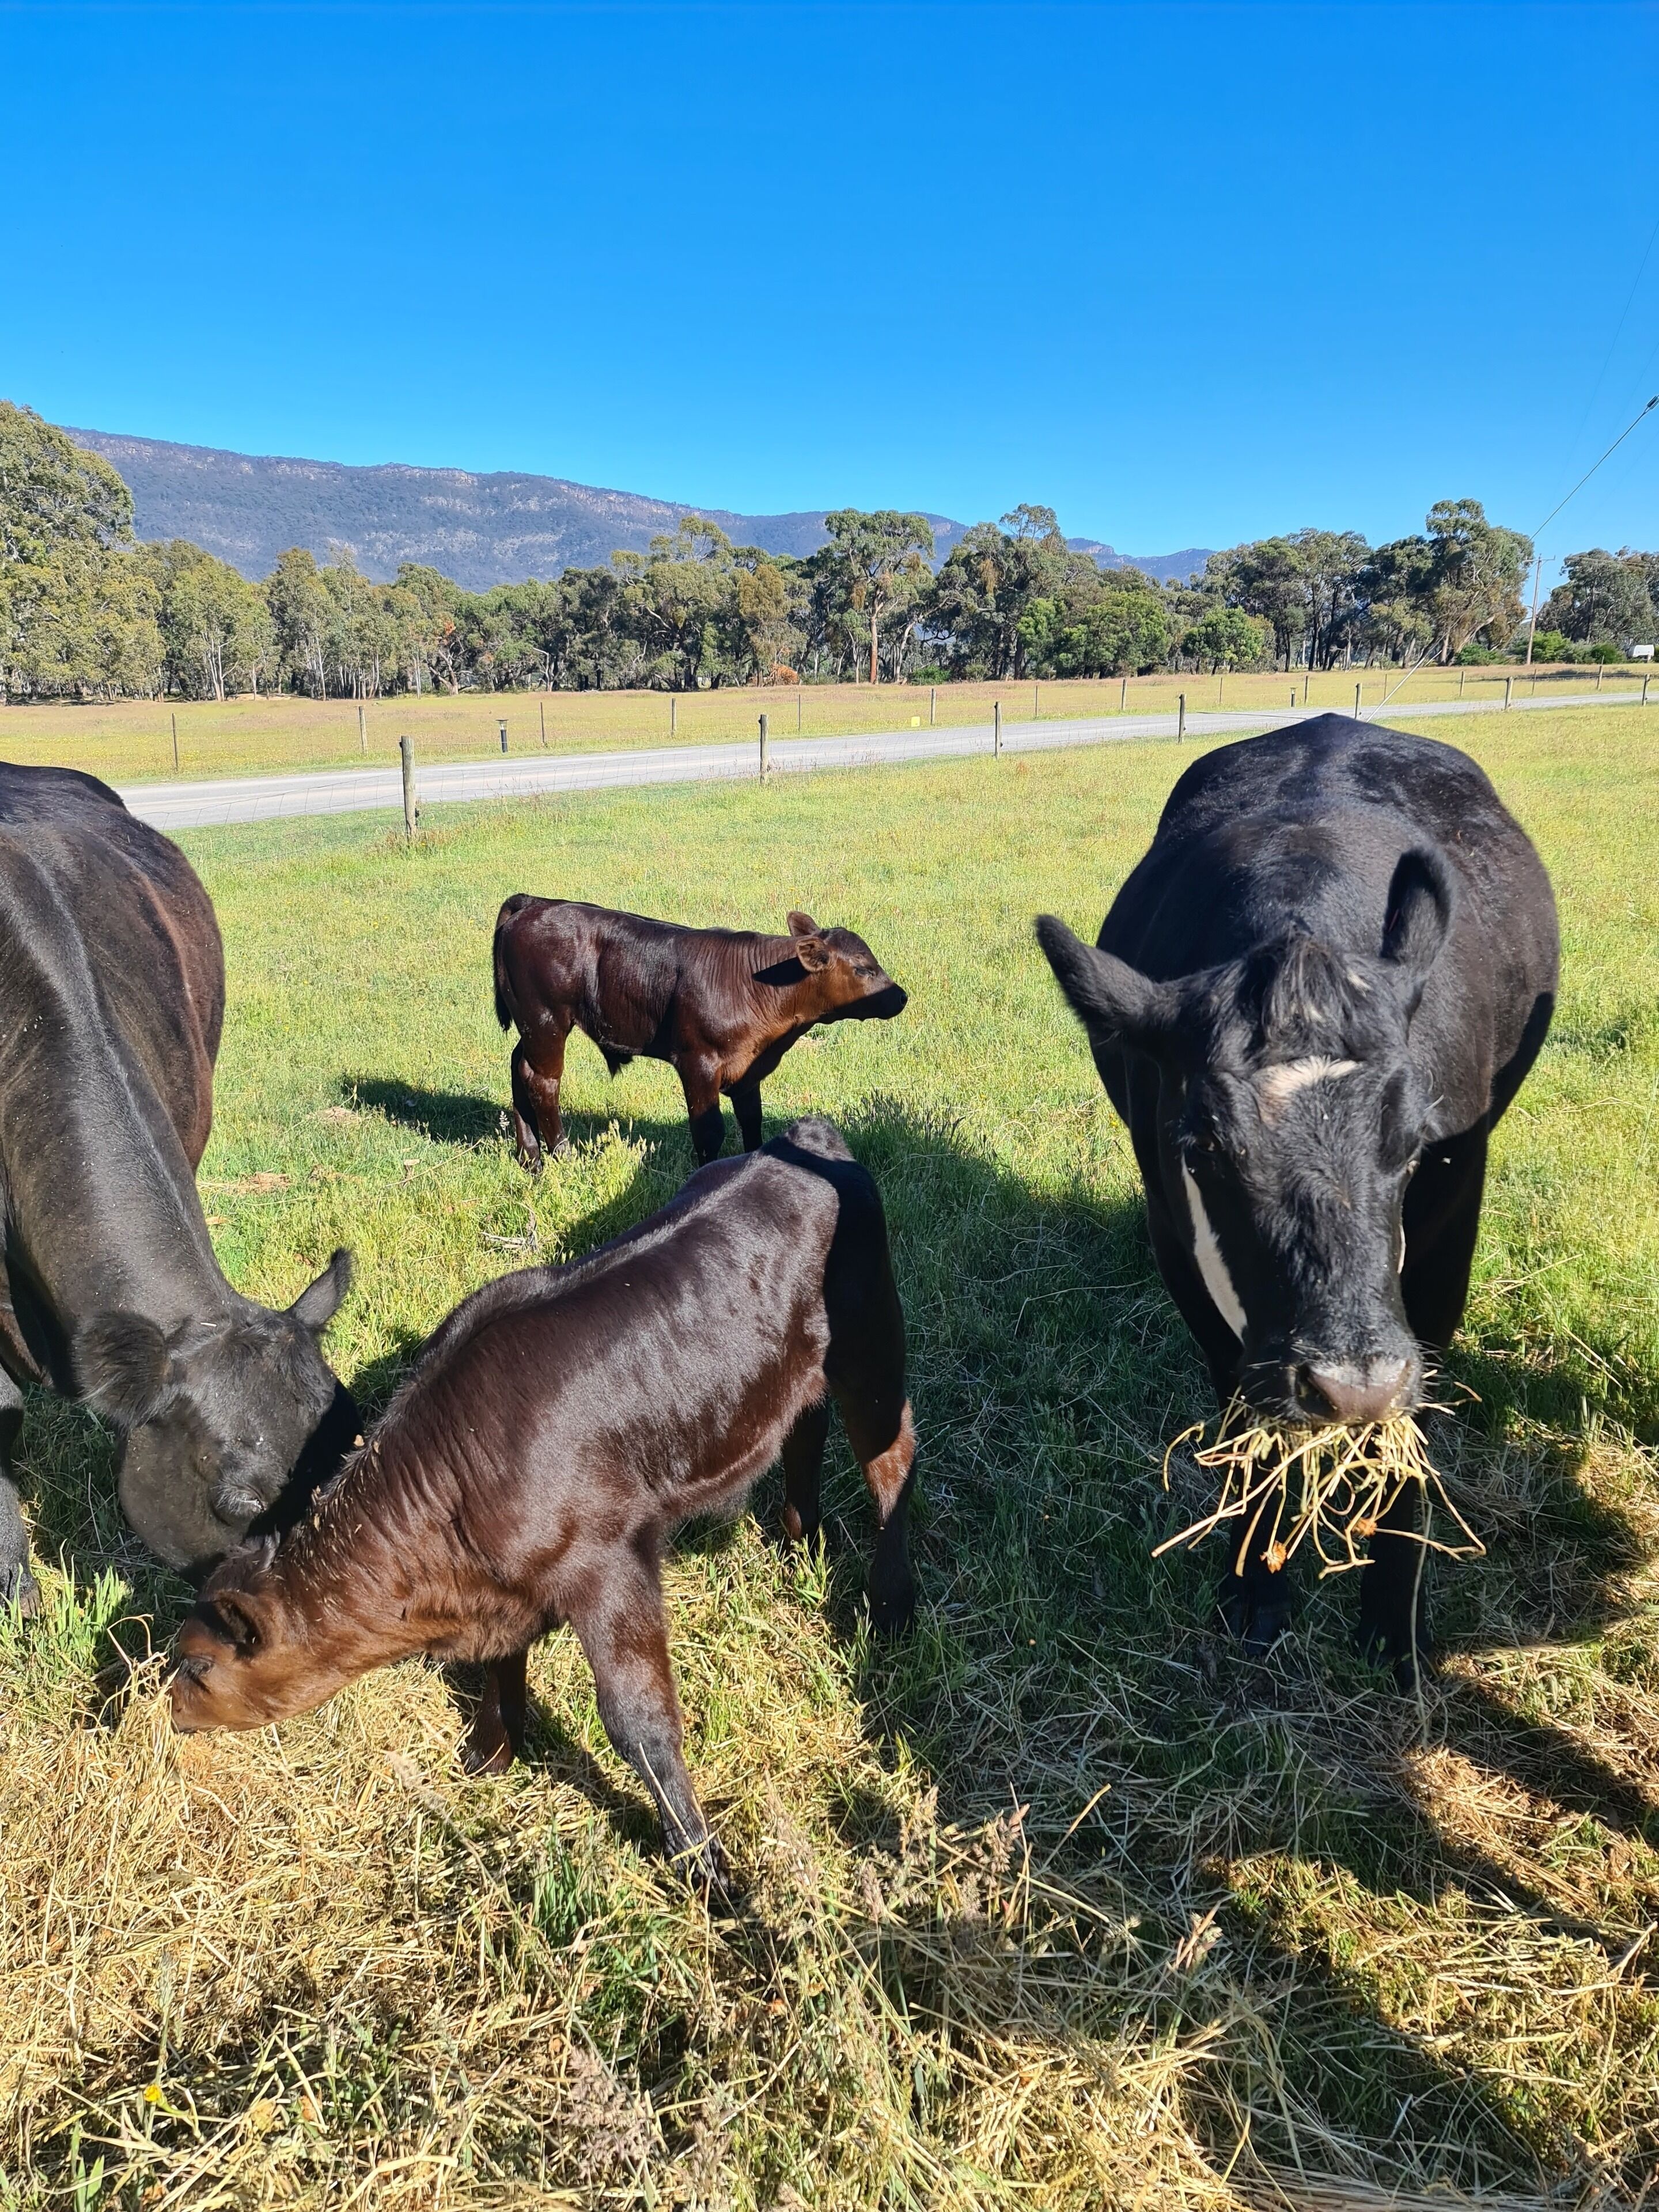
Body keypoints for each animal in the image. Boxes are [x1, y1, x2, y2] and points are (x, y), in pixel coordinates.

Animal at [168, 1117, 918, 1890]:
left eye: (197, 1666)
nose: (168, 1712)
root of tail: (801, 1138)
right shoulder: (506, 1589)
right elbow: (503, 1664)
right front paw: (493, 1753)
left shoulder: (608, 1564)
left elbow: (637, 1721)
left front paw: (700, 1863)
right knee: (803, 1433)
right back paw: (802, 1543)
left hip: (872, 1350)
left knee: (892, 1462)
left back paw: (891, 1605)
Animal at [492, 896, 907, 1169]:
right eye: (862, 968)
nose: (901, 996)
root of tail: (535, 903)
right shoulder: (698, 1063)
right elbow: (709, 1130)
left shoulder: (749, 1070)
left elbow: (751, 1121)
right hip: (546, 1020)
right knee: (543, 1083)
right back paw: (563, 1157)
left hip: (532, 1026)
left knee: (518, 1067)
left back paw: (530, 1158)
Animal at [1036, 716, 1558, 1672]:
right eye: (1203, 1147)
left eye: (1415, 1141)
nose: (1352, 1386)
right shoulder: (1177, 1236)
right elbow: (1244, 1410)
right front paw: (1255, 1583)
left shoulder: (1449, 1230)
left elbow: (1415, 1426)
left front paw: (1392, 1617)